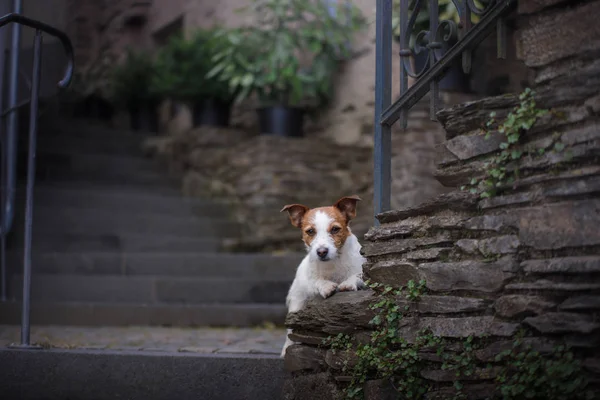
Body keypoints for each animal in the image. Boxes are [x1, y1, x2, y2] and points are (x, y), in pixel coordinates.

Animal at [280, 195, 366, 358]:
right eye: (310, 231)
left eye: (335, 229)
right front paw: (326, 285)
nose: (321, 252)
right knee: (290, 332)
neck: (334, 263)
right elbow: (316, 281)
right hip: (296, 303)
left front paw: (349, 282)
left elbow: (358, 275)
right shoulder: (310, 281)